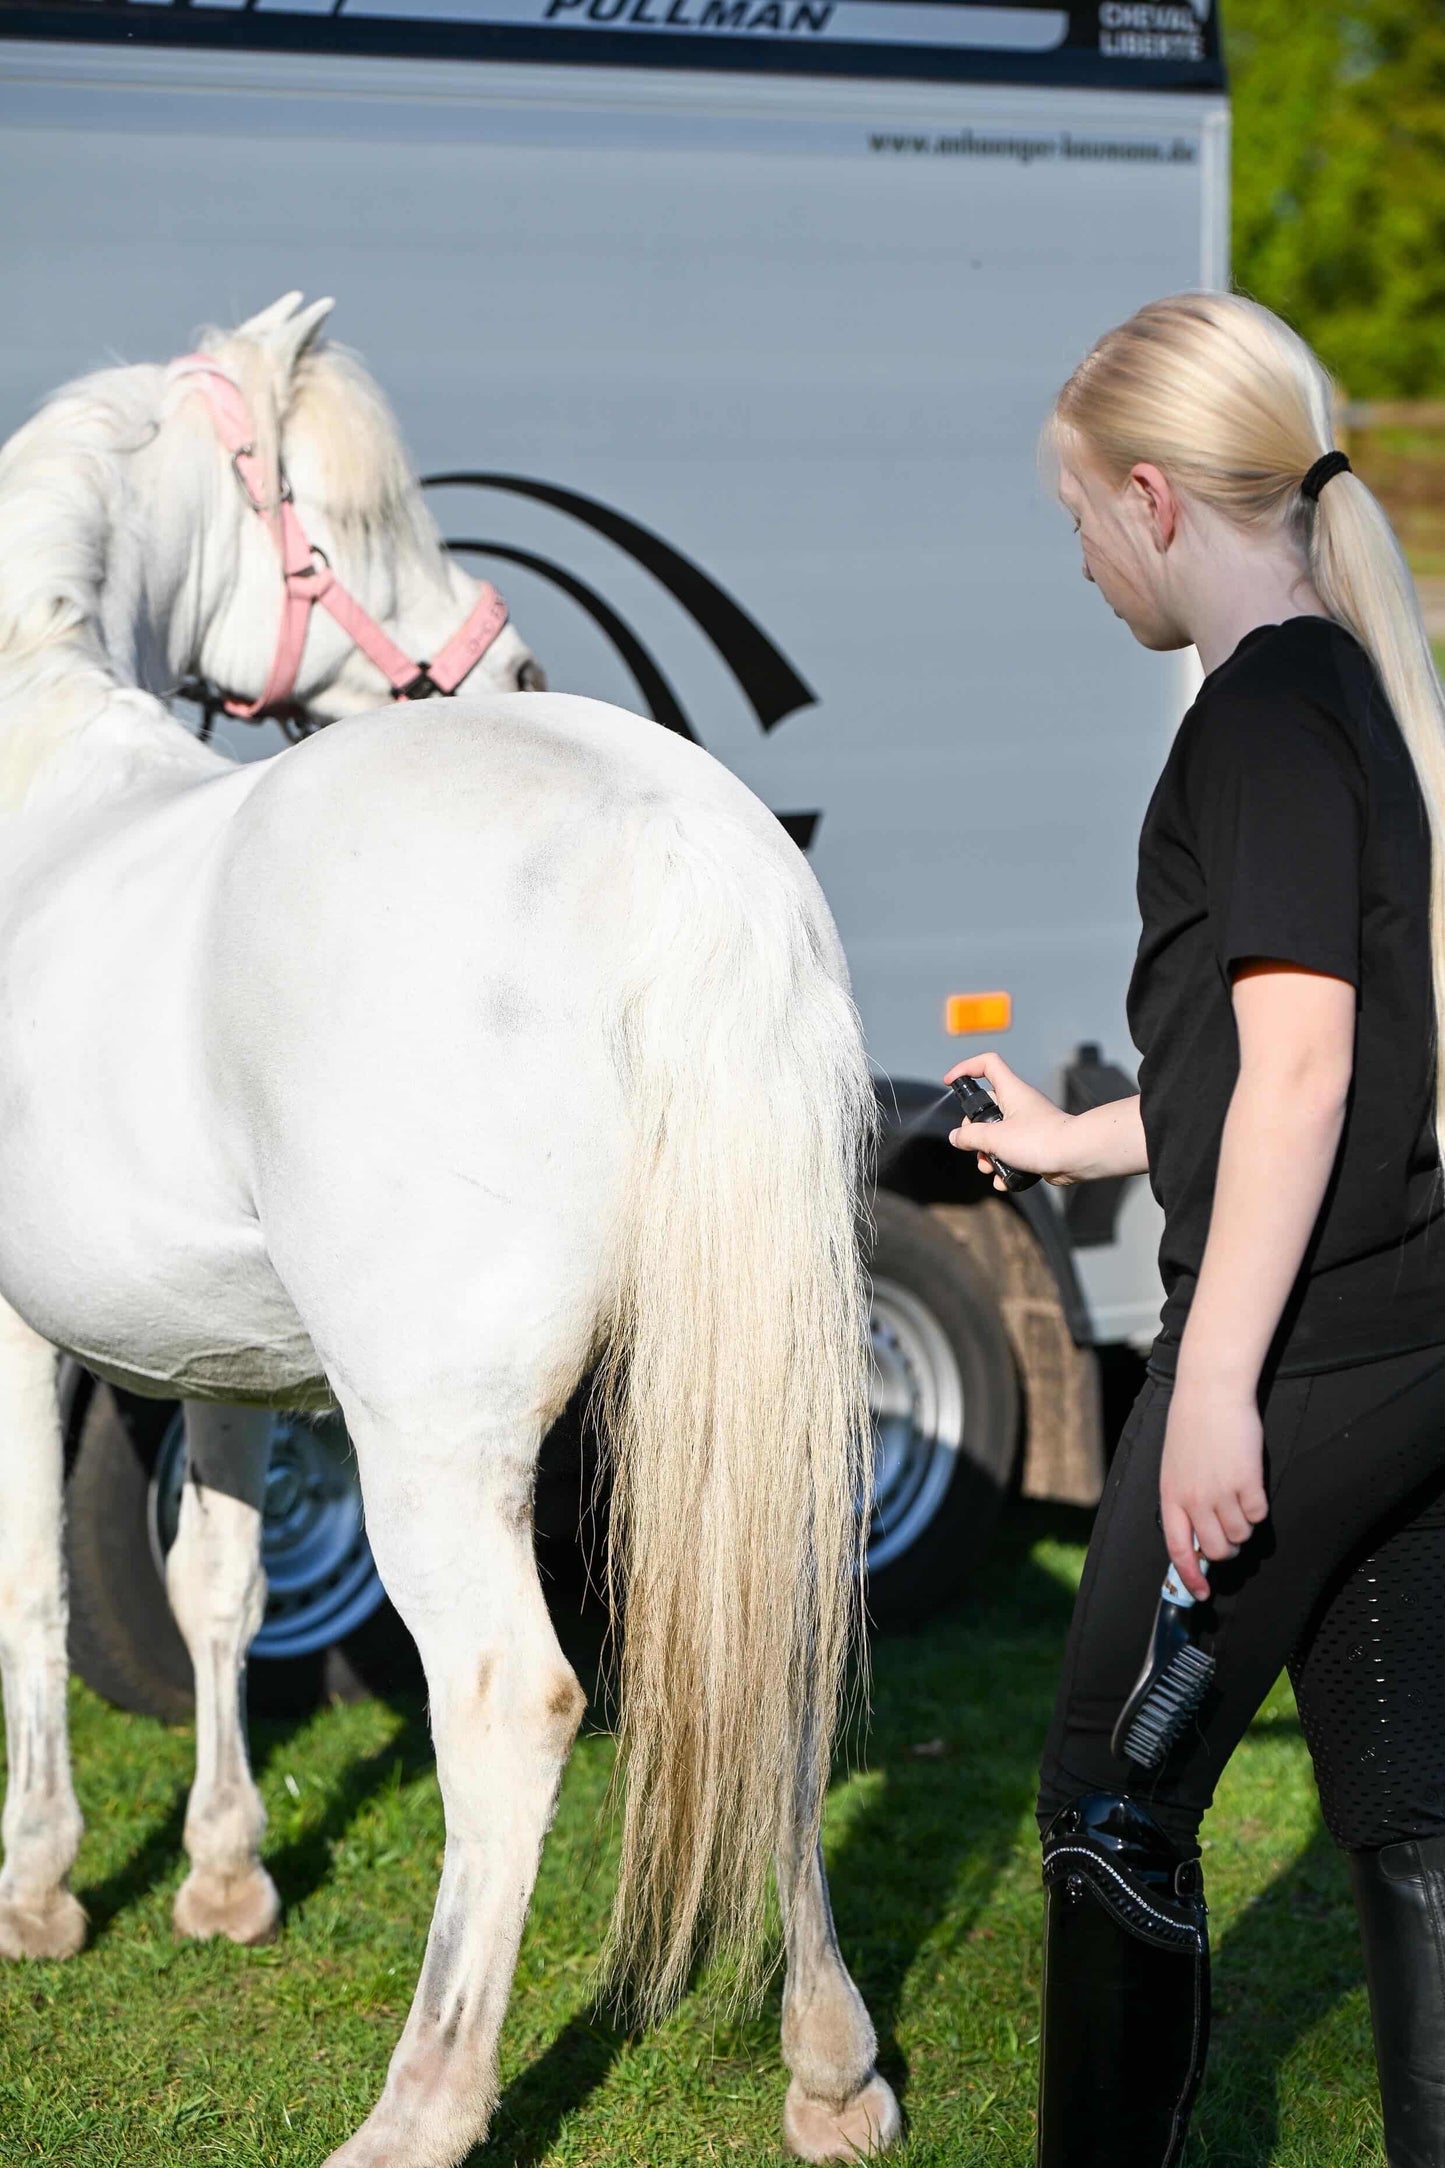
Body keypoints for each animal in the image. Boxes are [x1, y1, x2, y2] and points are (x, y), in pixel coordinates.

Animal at [0, 293, 902, 2166]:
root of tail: (686, 848)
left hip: (438, 1442)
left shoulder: (21, 1325)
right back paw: (833, 2069)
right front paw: (224, 1877)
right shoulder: (224, 1359)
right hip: (732, 1403)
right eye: (354, 524)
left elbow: (30, 1586)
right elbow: (213, 1589)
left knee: (507, 1700)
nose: (513, 667)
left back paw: (419, 2105)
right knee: (781, 1661)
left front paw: (39, 1888)